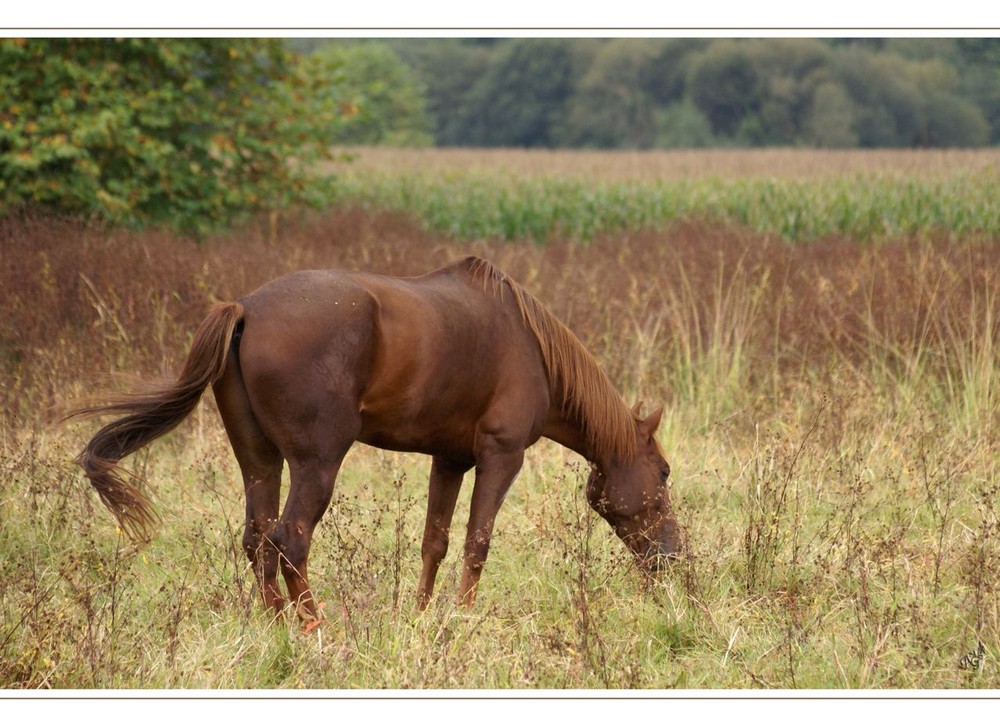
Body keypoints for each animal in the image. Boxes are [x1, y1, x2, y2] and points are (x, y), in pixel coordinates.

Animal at [76, 258, 680, 616]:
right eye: (665, 472)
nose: (673, 557)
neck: (530, 346)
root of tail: (244, 309)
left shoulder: (449, 459)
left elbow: (435, 541)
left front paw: (421, 615)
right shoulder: (500, 456)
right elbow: (477, 542)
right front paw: (462, 618)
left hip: (259, 461)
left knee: (257, 539)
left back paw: (276, 624)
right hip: (317, 464)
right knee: (290, 540)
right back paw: (315, 629)